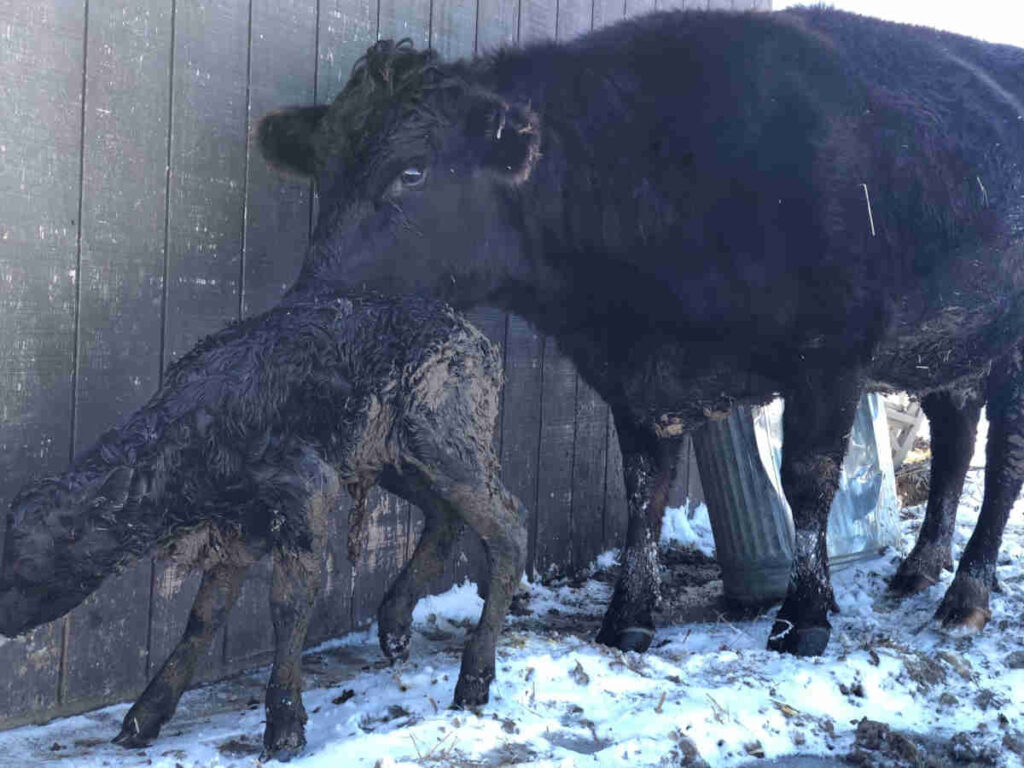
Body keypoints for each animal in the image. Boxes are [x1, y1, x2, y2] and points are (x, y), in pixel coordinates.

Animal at [0, 292, 526, 761]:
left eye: (23, 560)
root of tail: (477, 338)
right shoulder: (237, 528)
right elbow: (204, 617)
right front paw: (144, 717)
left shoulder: (307, 490)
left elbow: (287, 604)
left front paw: (285, 728)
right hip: (399, 458)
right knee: (445, 518)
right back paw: (394, 627)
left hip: (446, 443)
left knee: (509, 527)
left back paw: (474, 676)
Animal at [257, 7, 1024, 657]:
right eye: (324, 169)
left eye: (411, 171)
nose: (309, 300)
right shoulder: (636, 380)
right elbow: (643, 491)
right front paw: (628, 615)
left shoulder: (831, 359)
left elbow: (806, 484)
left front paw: (803, 617)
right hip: (953, 349)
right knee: (956, 443)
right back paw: (921, 566)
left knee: (1003, 465)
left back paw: (967, 594)